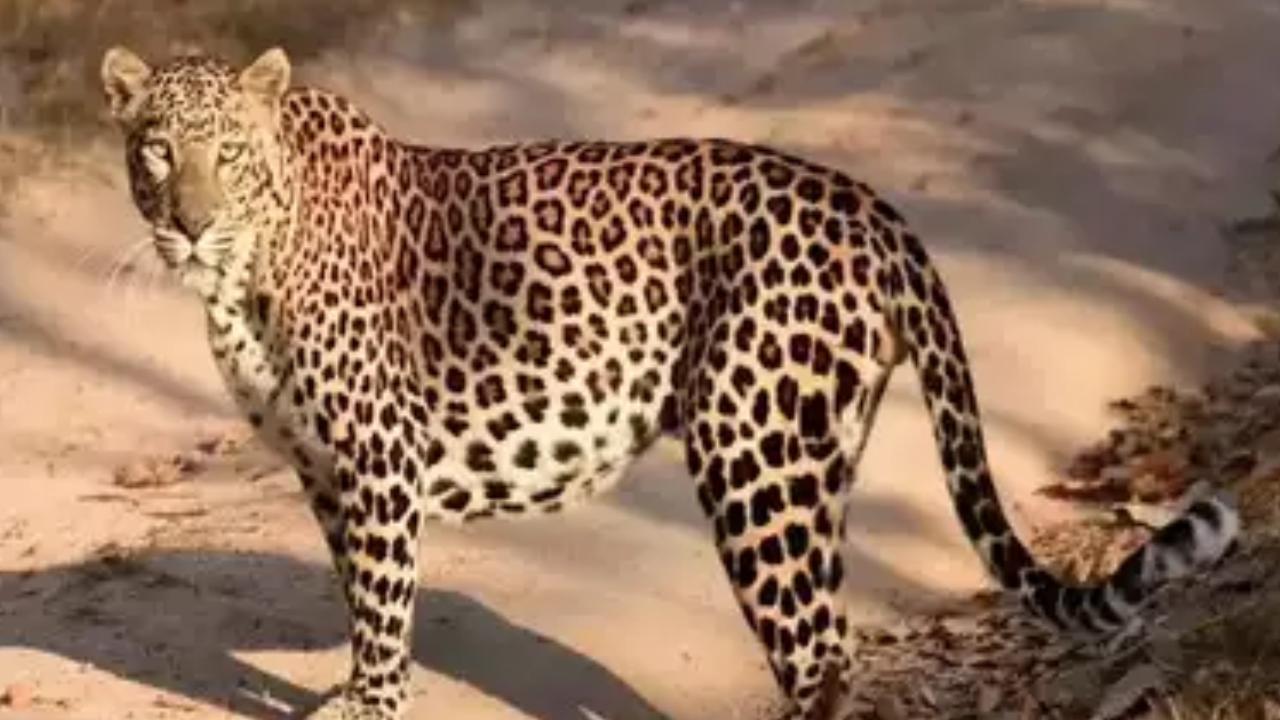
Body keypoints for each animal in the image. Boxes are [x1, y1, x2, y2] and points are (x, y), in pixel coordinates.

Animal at [100, 46, 1240, 720]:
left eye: (227, 155)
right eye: (156, 153)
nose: (189, 225)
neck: (246, 271)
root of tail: (870, 207)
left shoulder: (378, 462)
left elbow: (381, 606)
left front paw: (368, 704)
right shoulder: (325, 469)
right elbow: (355, 595)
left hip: (752, 457)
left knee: (818, 649)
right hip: (815, 454)